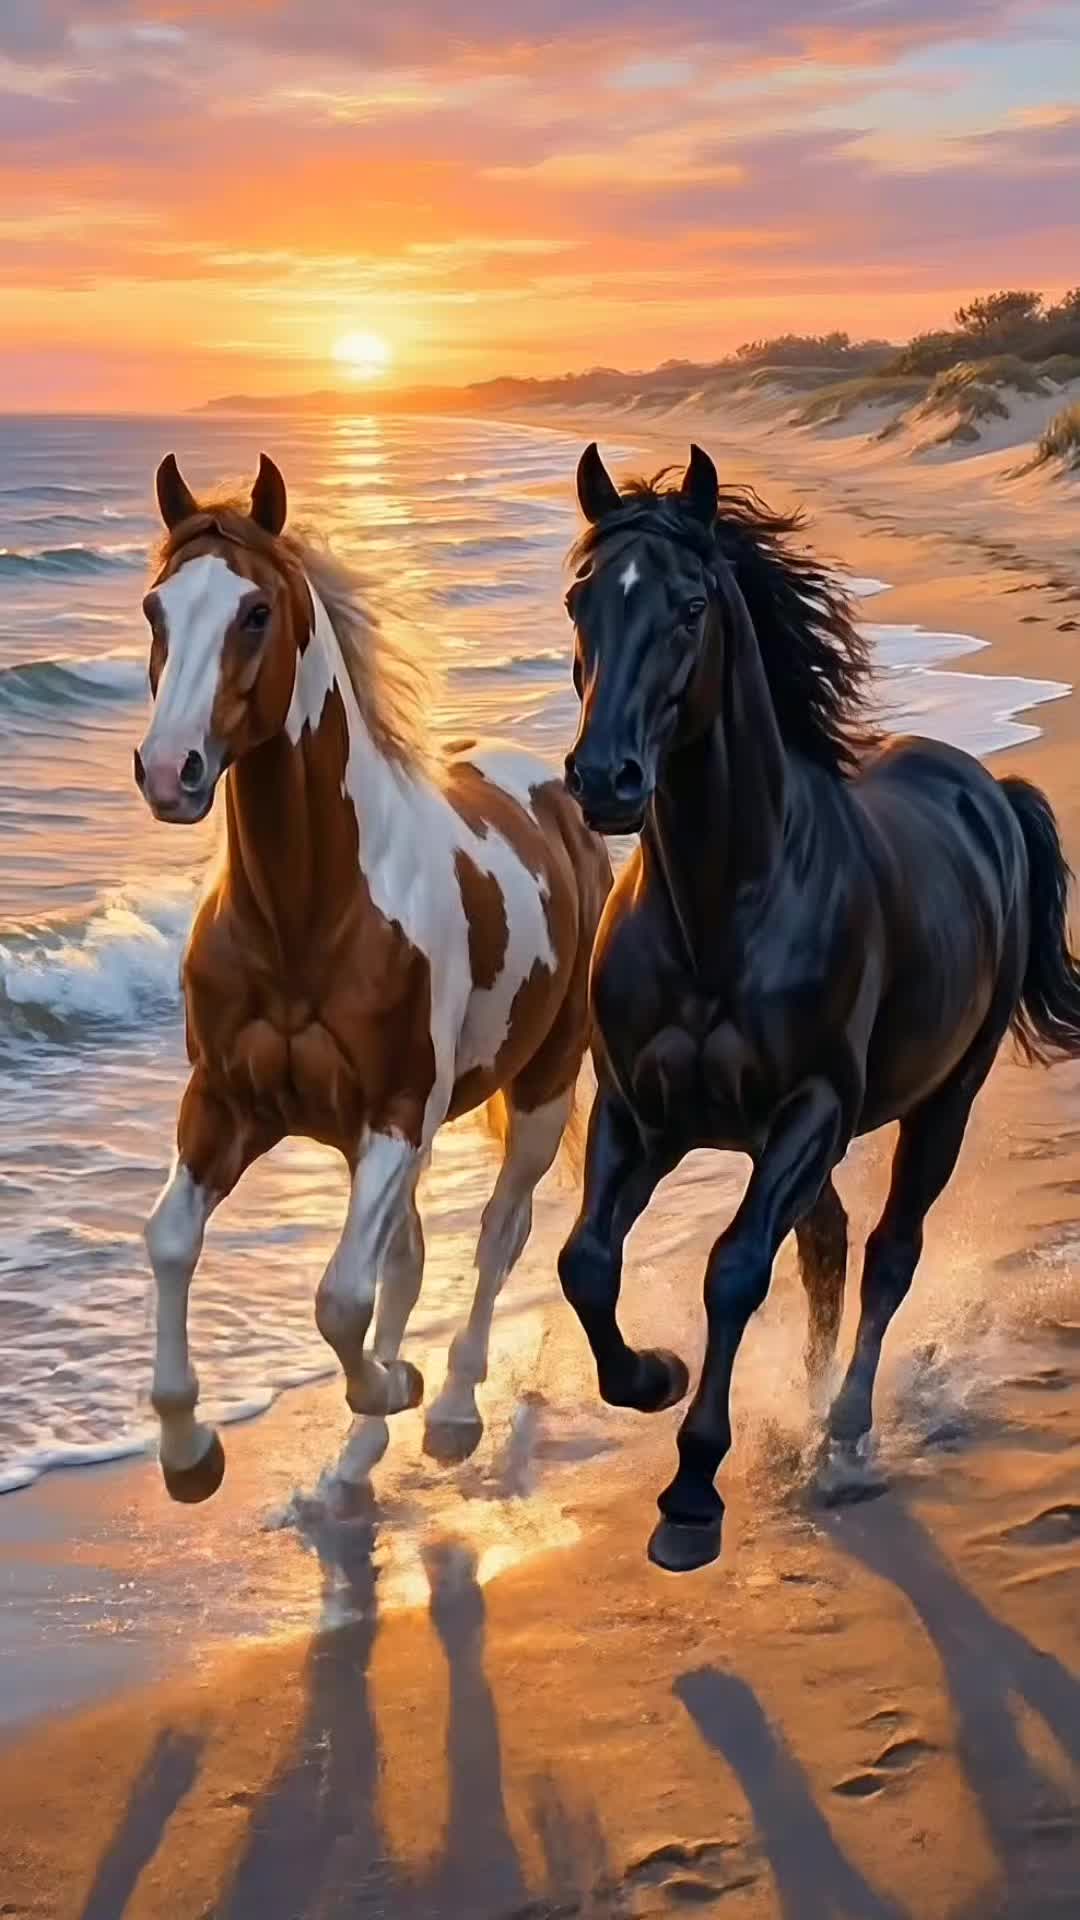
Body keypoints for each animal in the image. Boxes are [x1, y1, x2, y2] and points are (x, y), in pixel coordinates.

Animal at [134, 451, 610, 1504]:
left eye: (254, 613)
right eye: (155, 609)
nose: (169, 771)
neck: (306, 918)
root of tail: (554, 797)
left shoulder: (395, 1113)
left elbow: (341, 1299)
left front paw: (398, 1384)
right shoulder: (226, 1104)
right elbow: (173, 1240)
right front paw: (190, 1454)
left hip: (541, 1088)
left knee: (497, 1233)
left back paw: (452, 1411)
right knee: (416, 1253)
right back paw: (355, 1459)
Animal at [557, 440, 1080, 1573]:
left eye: (690, 605)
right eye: (581, 598)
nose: (605, 778)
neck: (724, 905)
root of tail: (990, 792)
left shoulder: (809, 1110)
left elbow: (734, 1269)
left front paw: (691, 1495)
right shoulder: (641, 1114)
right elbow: (587, 1262)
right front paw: (652, 1379)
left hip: (942, 1102)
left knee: (886, 1254)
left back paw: (843, 1432)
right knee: (831, 1246)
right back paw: (805, 1415)